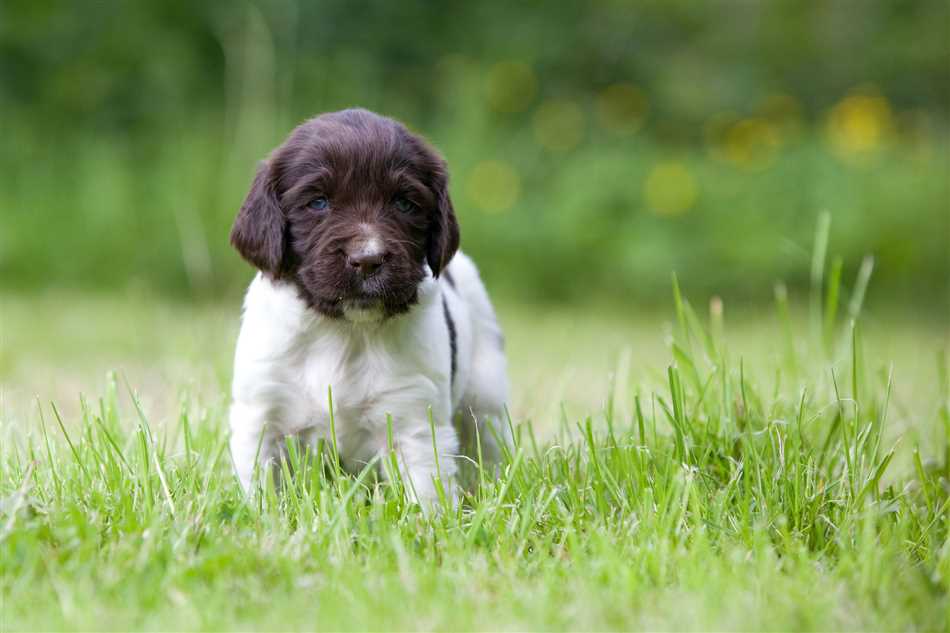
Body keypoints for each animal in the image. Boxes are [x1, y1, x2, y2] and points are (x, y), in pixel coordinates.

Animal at [229, 108, 512, 504]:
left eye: (404, 204)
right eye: (318, 202)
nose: (367, 259)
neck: (343, 330)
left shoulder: (413, 419)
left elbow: (426, 495)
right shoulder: (260, 411)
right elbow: (260, 489)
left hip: (486, 393)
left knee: (490, 443)